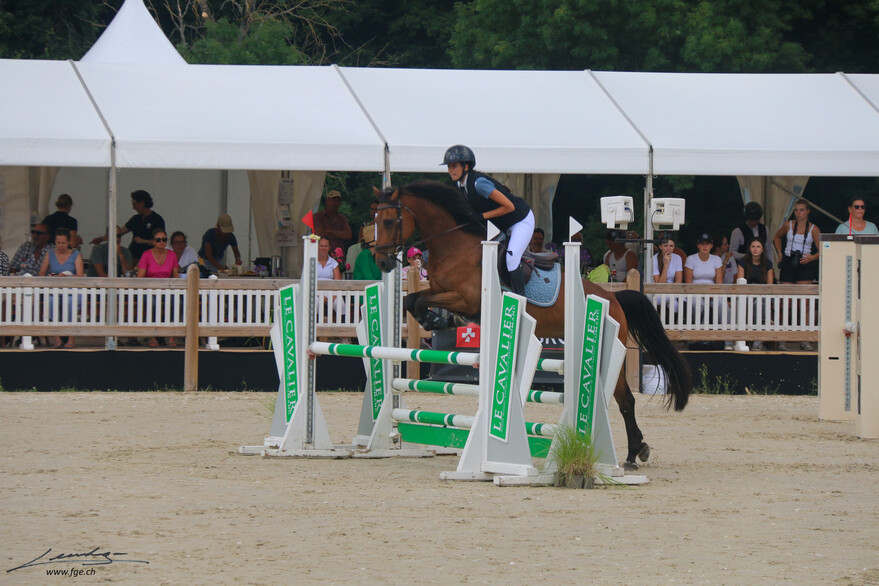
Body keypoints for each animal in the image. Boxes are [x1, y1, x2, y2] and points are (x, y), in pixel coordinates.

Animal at [372, 180, 691, 468]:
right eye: (374, 220)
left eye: (388, 220)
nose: (383, 263)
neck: (454, 247)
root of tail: (613, 298)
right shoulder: (439, 291)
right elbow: (413, 300)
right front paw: (435, 319)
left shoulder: (465, 299)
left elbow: (421, 302)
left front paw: (438, 319)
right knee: (623, 399)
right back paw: (635, 451)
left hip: (611, 350)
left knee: (625, 399)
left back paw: (632, 455)